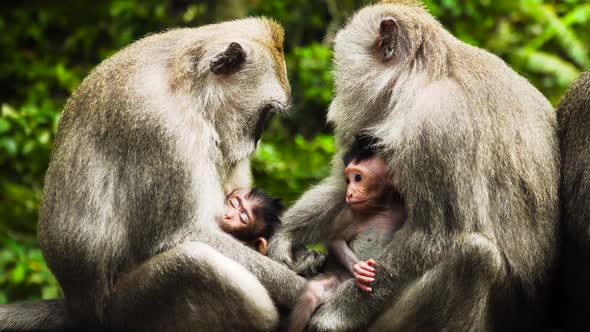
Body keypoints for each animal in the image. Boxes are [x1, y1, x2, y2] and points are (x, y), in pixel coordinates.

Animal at [0, 18, 308, 332]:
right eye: (265, 114)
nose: (255, 142)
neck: (190, 87)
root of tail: (79, 309)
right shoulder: (163, 127)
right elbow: (185, 235)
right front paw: (300, 289)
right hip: (127, 311)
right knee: (195, 262)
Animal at [290, 135, 410, 332]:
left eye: (358, 178)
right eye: (348, 180)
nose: (350, 193)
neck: (381, 209)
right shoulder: (349, 213)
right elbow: (335, 239)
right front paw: (359, 269)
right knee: (312, 295)